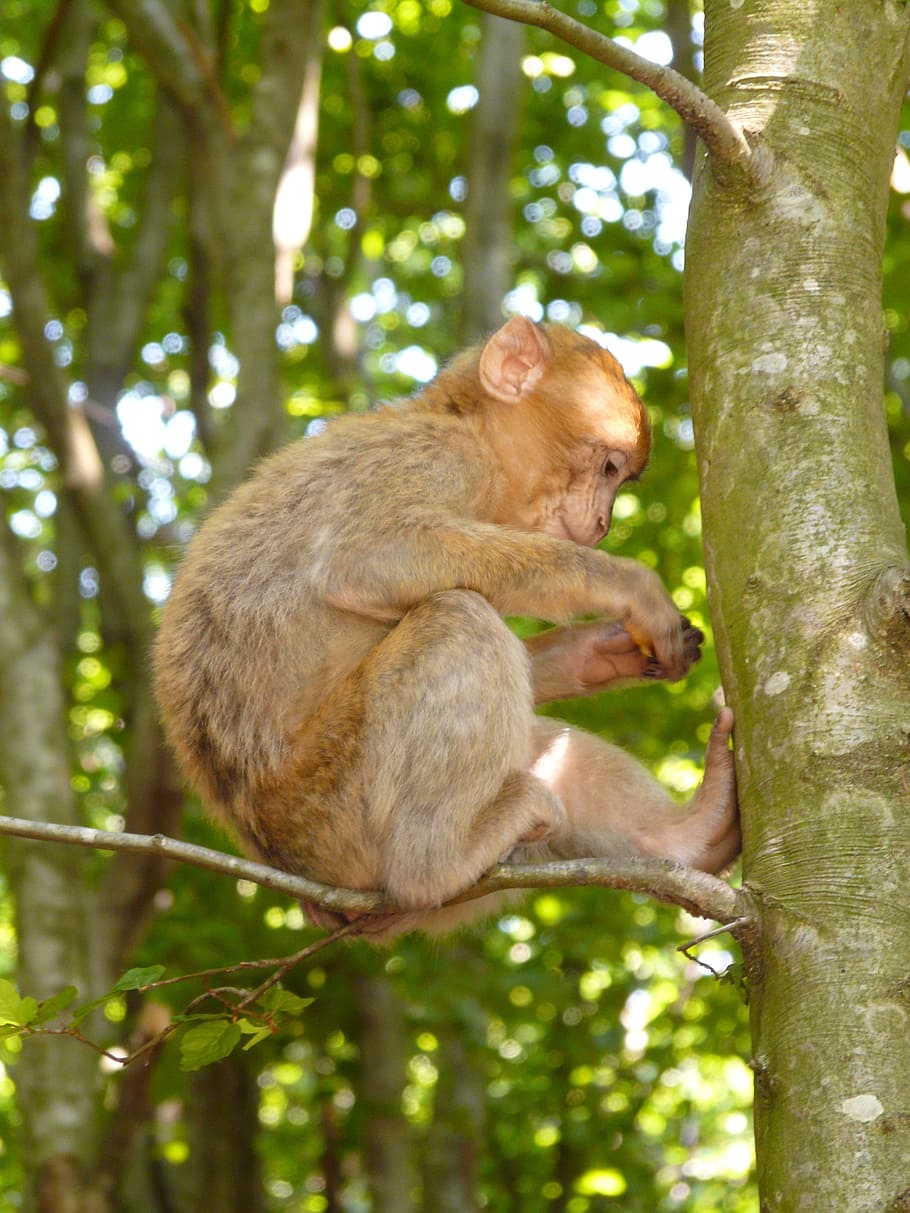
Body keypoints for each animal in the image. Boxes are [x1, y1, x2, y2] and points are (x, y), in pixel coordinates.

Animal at [154, 316, 739, 938]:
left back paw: (694, 835)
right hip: (328, 815)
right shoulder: (436, 457)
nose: (603, 523)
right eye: (608, 468)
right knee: (457, 618)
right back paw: (434, 865)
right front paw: (630, 587)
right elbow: (369, 557)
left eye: (621, 480)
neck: (463, 426)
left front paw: (599, 654)